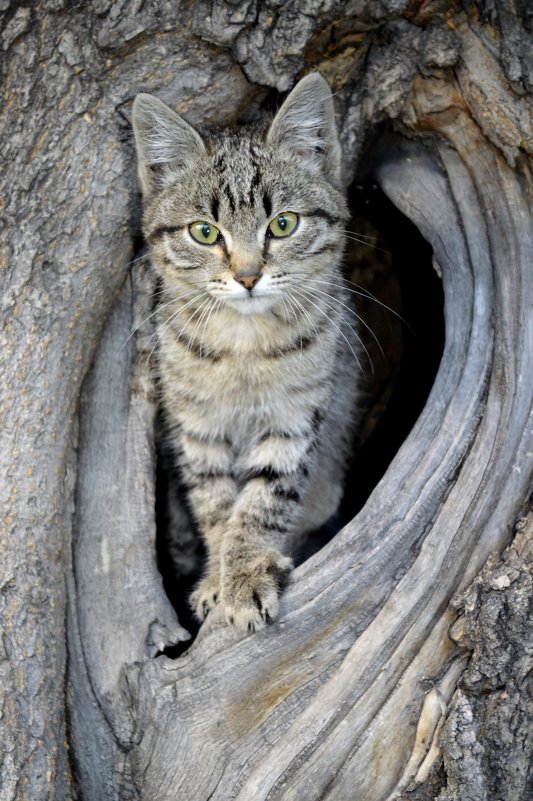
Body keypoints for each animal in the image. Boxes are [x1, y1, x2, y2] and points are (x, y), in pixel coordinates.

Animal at [132, 72, 358, 632]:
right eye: (204, 232)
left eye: (283, 224)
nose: (249, 276)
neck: (244, 346)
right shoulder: (196, 426)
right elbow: (214, 503)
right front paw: (220, 576)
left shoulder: (295, 417)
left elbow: (264, 499)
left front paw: (247, 572)